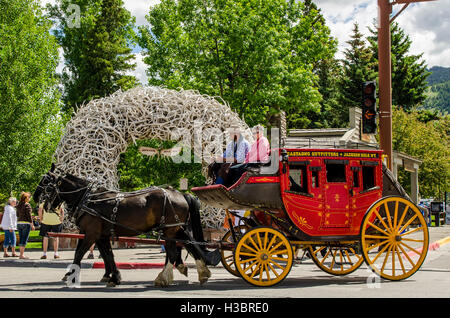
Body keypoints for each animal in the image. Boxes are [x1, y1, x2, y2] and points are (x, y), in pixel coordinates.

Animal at [34, 165, 219, 286]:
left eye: (45, 182)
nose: (36, 198)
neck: (89, 199)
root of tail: (180, 194)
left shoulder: (91, 233)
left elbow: (79, 253)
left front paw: (70, 275)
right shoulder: (101, 235)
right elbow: (108, 255)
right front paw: (114, 277)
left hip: (170, 230)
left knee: (173, 253)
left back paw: (163, 278)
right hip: (177, 228)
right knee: (190, 245)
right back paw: (202, 272)